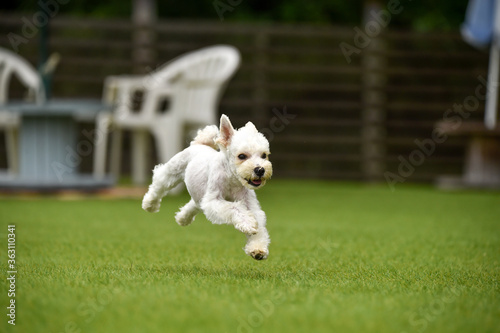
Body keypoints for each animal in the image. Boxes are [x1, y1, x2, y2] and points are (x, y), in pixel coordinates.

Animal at [141, 114, 274, 260]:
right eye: (242, 156)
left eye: (264, 155)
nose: (260, 170)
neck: (232, 179)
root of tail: (199, 144)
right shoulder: (213, 200)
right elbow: (234, 208)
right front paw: (248, 223)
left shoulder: (251, 205)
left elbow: (259, 225)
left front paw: (257, 249)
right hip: (172, 172)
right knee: (159, 184)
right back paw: (150, 204)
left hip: (199, 195)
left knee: (194, 204)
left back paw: (183, 218)